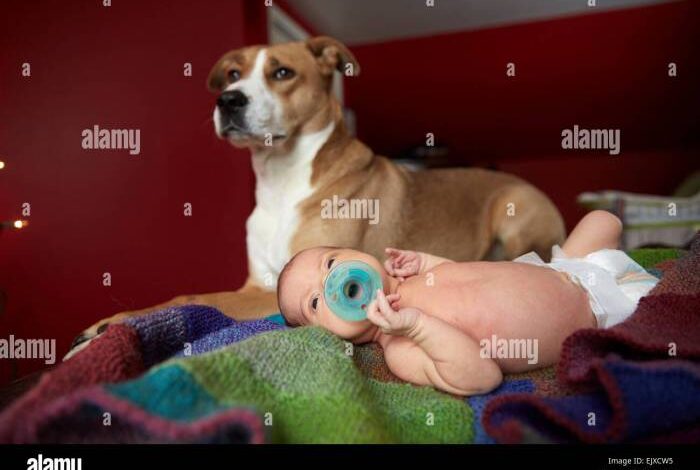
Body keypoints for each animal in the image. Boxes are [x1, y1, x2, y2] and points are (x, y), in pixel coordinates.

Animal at [67, 36, 564, 358]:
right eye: (233, 75)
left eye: (282, 73)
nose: (228, 100)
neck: (280, 181)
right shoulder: (259, 283)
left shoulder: (277, 286)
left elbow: (188, 296)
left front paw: (109, 324)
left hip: (514, 210)